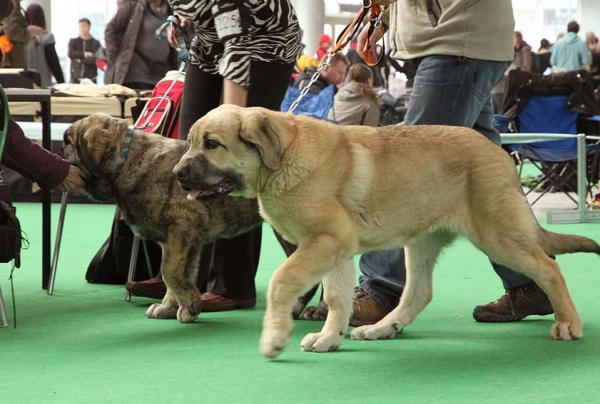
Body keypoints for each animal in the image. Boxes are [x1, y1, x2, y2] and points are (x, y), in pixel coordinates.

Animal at [172, 105, 600, 360]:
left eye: (212, 144)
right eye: (190, 142)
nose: (177, 174)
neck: (283, 160)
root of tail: (501, 151)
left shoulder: (327, 240)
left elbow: (281, 281)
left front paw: (275, 338)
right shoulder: (336, 250)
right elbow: (338, 298)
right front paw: (329, 337)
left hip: (497, 233)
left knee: (548, 267)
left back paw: (568, 323)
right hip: (421, 242)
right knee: (418, 292)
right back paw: (382, 328)